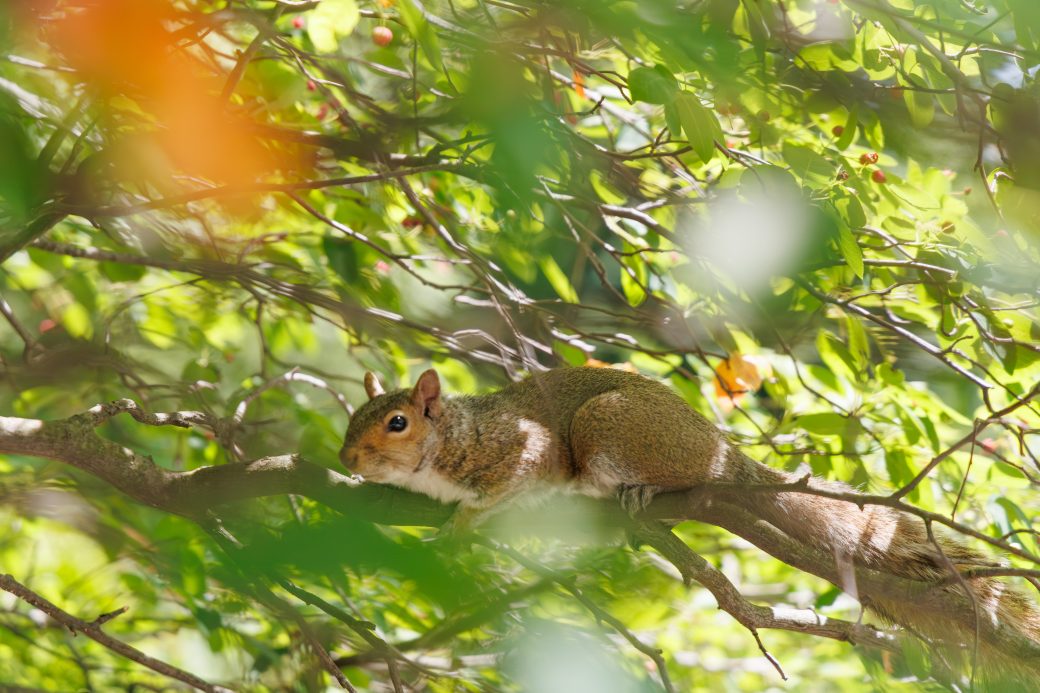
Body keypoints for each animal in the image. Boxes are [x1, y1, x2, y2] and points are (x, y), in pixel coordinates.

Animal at [340, 366, 1040, 687]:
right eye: (351, 417)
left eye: (397, 422)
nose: (346, 460)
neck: (449, 442)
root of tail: (720, 449)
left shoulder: (518, 451)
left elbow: (505, 483)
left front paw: (463, 521)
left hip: (612, 432)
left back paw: (647, 491)